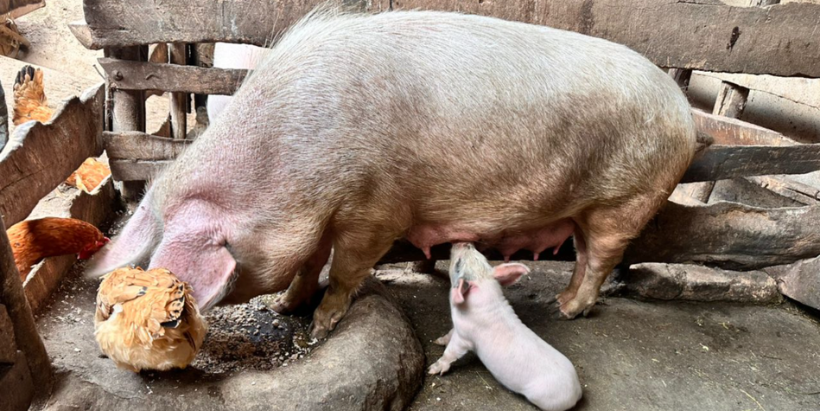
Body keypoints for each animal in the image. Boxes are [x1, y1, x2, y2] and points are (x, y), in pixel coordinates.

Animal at [86, 7, 700, 339]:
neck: (291, 166)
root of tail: (685, 113)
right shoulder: (320, 215)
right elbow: (308, 260)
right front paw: (287, 306)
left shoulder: (377, 210)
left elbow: (347, 268)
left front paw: (320, 325)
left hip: (626, 200)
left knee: (601, 257)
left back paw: (565, 310)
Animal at [429, 242, 582, 411]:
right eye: (482, 256)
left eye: (458, 263)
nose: (465, 243)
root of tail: (577, 391)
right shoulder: (458, 328)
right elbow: (449, 333)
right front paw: (437, 341)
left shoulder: (464, 337)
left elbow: (450, 352)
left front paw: (432, 370)